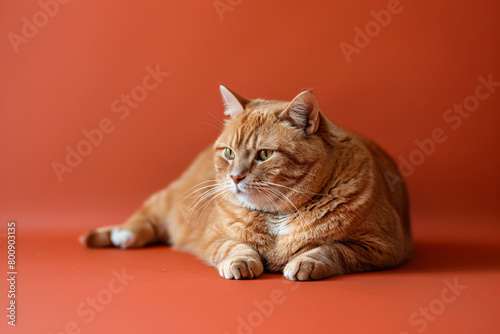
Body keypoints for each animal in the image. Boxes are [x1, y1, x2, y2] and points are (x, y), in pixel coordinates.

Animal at [80, 86, 412, 282]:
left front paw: (305, 262)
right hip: (169, 200)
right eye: (229, 152)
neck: (278, 217)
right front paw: (241, 261)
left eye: (264, 154)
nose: (235, 176)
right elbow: (235, 246)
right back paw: (124, 235)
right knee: (146, 218)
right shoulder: (213, 236)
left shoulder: (382, 245)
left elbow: (331, 249)